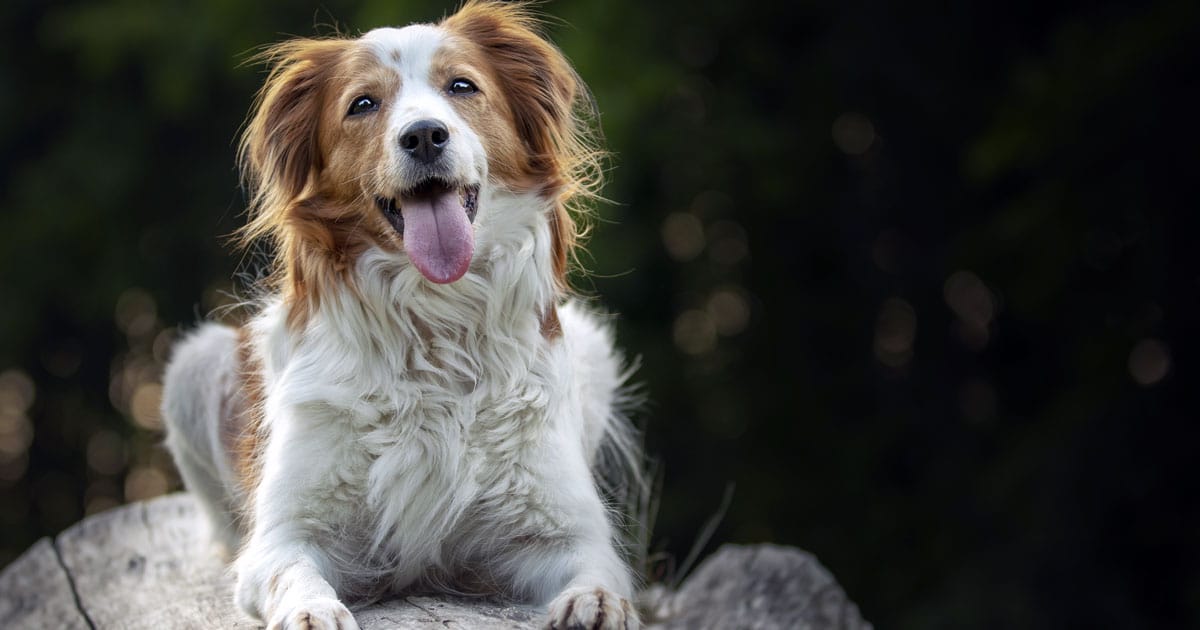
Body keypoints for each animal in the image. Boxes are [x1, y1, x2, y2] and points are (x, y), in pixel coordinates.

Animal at [165, 2, 648, 624]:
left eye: (462, 86)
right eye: (363, 104)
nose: (423, 135)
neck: (432, 322)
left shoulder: (560, 527)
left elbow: (600, 567)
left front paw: (597, 602)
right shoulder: (286, 534)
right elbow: (293, 572)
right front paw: (311, 611)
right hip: (190, 365)